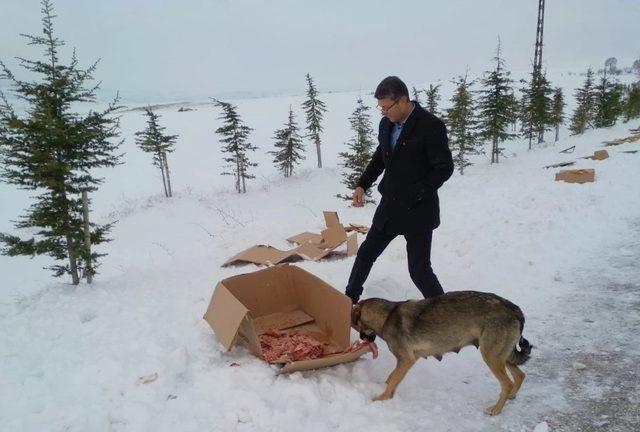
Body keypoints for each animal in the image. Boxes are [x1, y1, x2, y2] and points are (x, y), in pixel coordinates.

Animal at [352, 290, 532, 416]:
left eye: (355, 326)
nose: (362, 338)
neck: (387, 316)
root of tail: (514, 309)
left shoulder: (406, 360)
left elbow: (394, 379)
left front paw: (381, 399)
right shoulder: (405, 361)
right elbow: (391, 378)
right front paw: (387, 391)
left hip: (491, 357)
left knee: (507, 383)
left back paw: (496, 409)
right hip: (502, 356)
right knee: (520, 375)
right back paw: (510, 396)